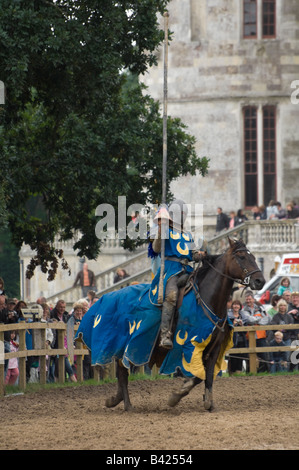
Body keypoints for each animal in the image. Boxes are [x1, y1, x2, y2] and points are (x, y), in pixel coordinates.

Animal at [99, 239, 266, 412]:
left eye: (254, 257)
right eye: (241, 257)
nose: (260, 281)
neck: (207, 300)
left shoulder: (214, 349)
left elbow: (208, 377)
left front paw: (209, 403)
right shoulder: (190, 347)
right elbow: (197, 376)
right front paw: (176, 397)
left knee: (121, 370)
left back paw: (116, 399)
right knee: (122, 370)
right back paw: (126, 404)